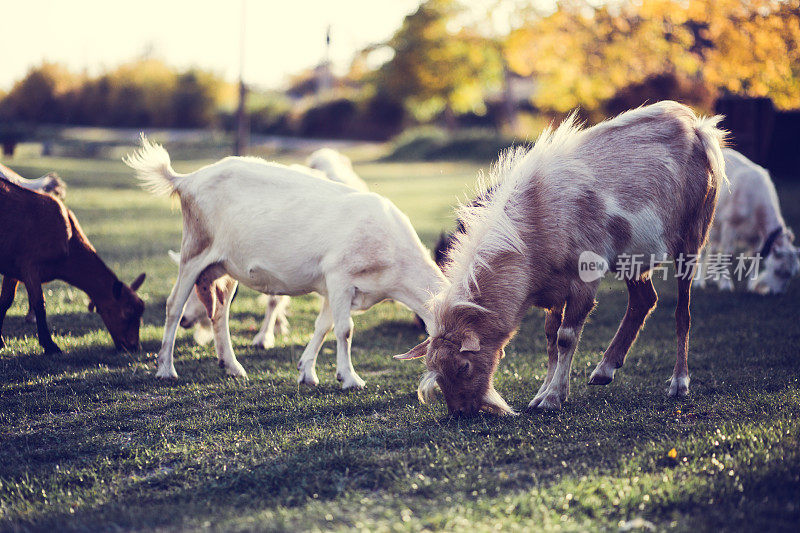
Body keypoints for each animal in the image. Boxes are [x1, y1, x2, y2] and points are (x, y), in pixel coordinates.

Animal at [0, 179, 146, 354]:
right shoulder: (30, 265)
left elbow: (6, 301)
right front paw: (50, 346)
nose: (134, 347)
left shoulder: (13, 268)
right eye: (127, 312)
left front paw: (0, 341)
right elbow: (39, 304)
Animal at [128, 137, 446, 386]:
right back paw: (166, 368)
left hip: (224, 267)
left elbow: (323, 326)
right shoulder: (340, 276)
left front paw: (307, 372)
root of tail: (185, 180)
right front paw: (350, 378)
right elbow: (344, 329)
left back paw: (232, 367)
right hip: (194, 249)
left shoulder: (334, 288)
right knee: (174, 305)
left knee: (219, 312)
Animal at [396, 102, 724, 414]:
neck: (536, 217)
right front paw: (542, 393)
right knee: (644, 299)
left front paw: (553, 397)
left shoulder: (584, 277)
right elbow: (551, 337)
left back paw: (679, 382)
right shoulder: (554, 287)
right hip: (633, 256)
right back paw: (605, 369)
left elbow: (566, 337)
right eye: (438, 375)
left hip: (693, 235)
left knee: (683, 311)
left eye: (463, 366)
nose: (462, 413)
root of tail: (697, 127)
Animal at [696, 148, 796, 294]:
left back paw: (713, 278)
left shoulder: (756, 235)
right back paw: (699, 282)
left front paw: (751, 285)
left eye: (790, 275)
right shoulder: (730, 225)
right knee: (705, 250)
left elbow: (755, 255)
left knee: (714, 249)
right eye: (778, 271)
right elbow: (729, 254)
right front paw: (726, 285)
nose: (777, 293)